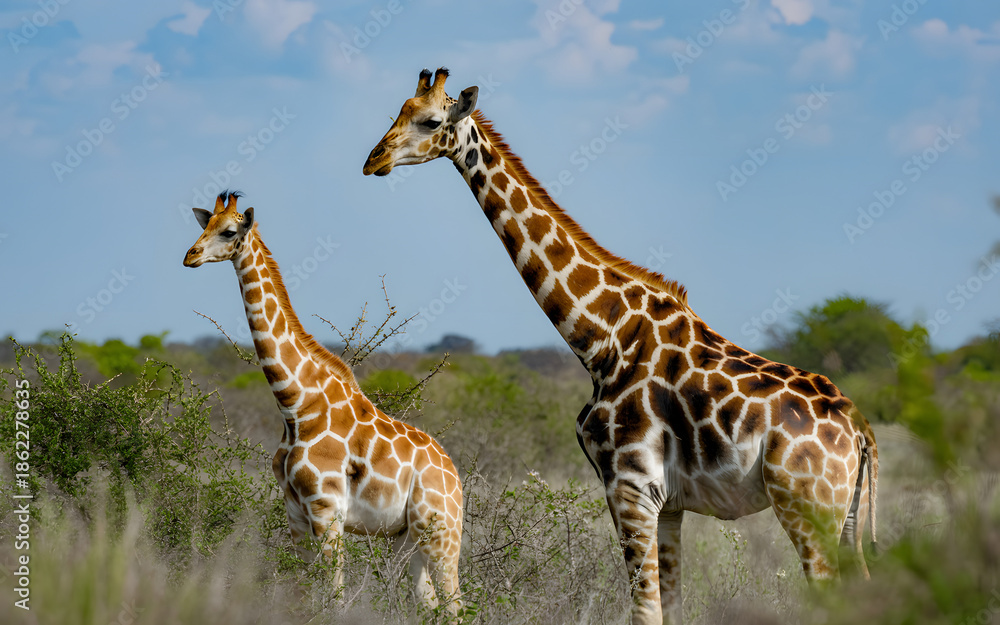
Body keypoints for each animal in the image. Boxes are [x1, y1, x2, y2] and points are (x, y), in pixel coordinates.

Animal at [182, 190, 463, 611]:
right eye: (205, 225)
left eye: (229, 231)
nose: (190, 256)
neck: (295, 405)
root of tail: (456, 478)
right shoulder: (295, 512)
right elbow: (301, 595)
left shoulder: (326, 509)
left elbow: (335, 597)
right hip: (407, 539)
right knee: (429, 603)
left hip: (441, 533)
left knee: (457, 603)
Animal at [362, 69, 878, 624]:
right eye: (397, 110)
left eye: (431, 121)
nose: (373, 160)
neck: (600, 340)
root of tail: (861, 432)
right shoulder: (668, 503)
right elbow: (669, 606)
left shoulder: (629, 486)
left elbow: (645, 611)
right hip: (845, 515)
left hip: (807, 507)